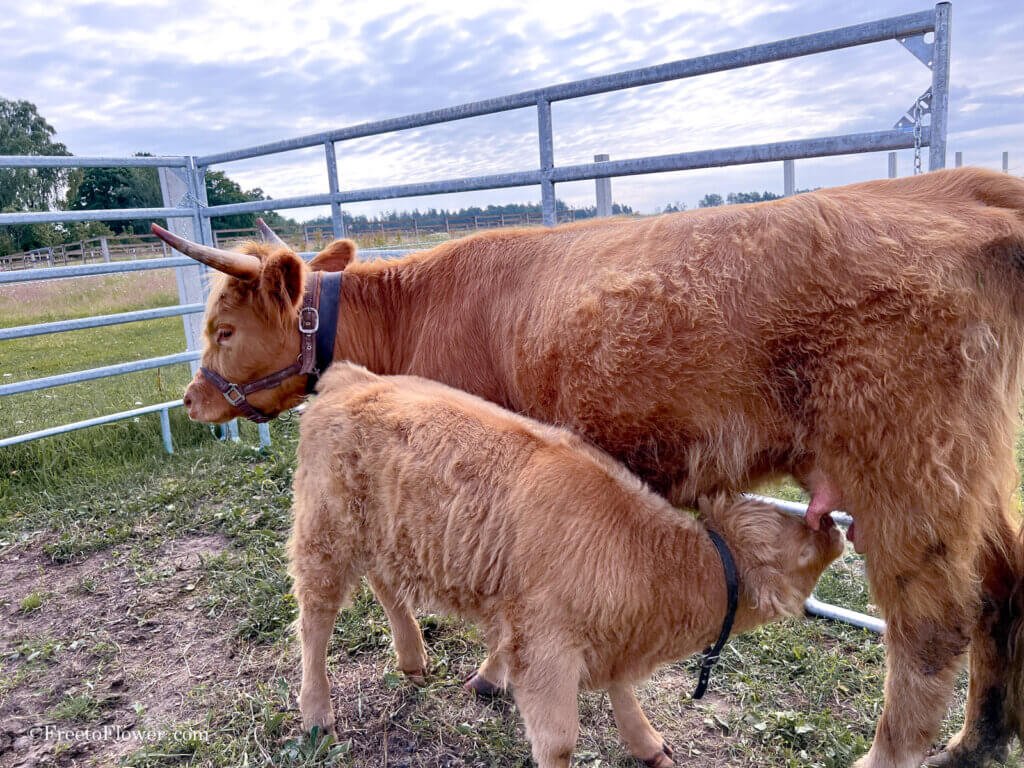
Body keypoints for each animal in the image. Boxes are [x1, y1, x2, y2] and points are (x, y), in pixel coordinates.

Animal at [154, 167, 1024, 768]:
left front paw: (488, 672)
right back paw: (974, 744)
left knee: (931, 632)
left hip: (906, 474)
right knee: (1003, 587)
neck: (409, 317)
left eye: (223, 329)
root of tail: (963, 188)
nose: (191, 399)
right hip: (971, 478)